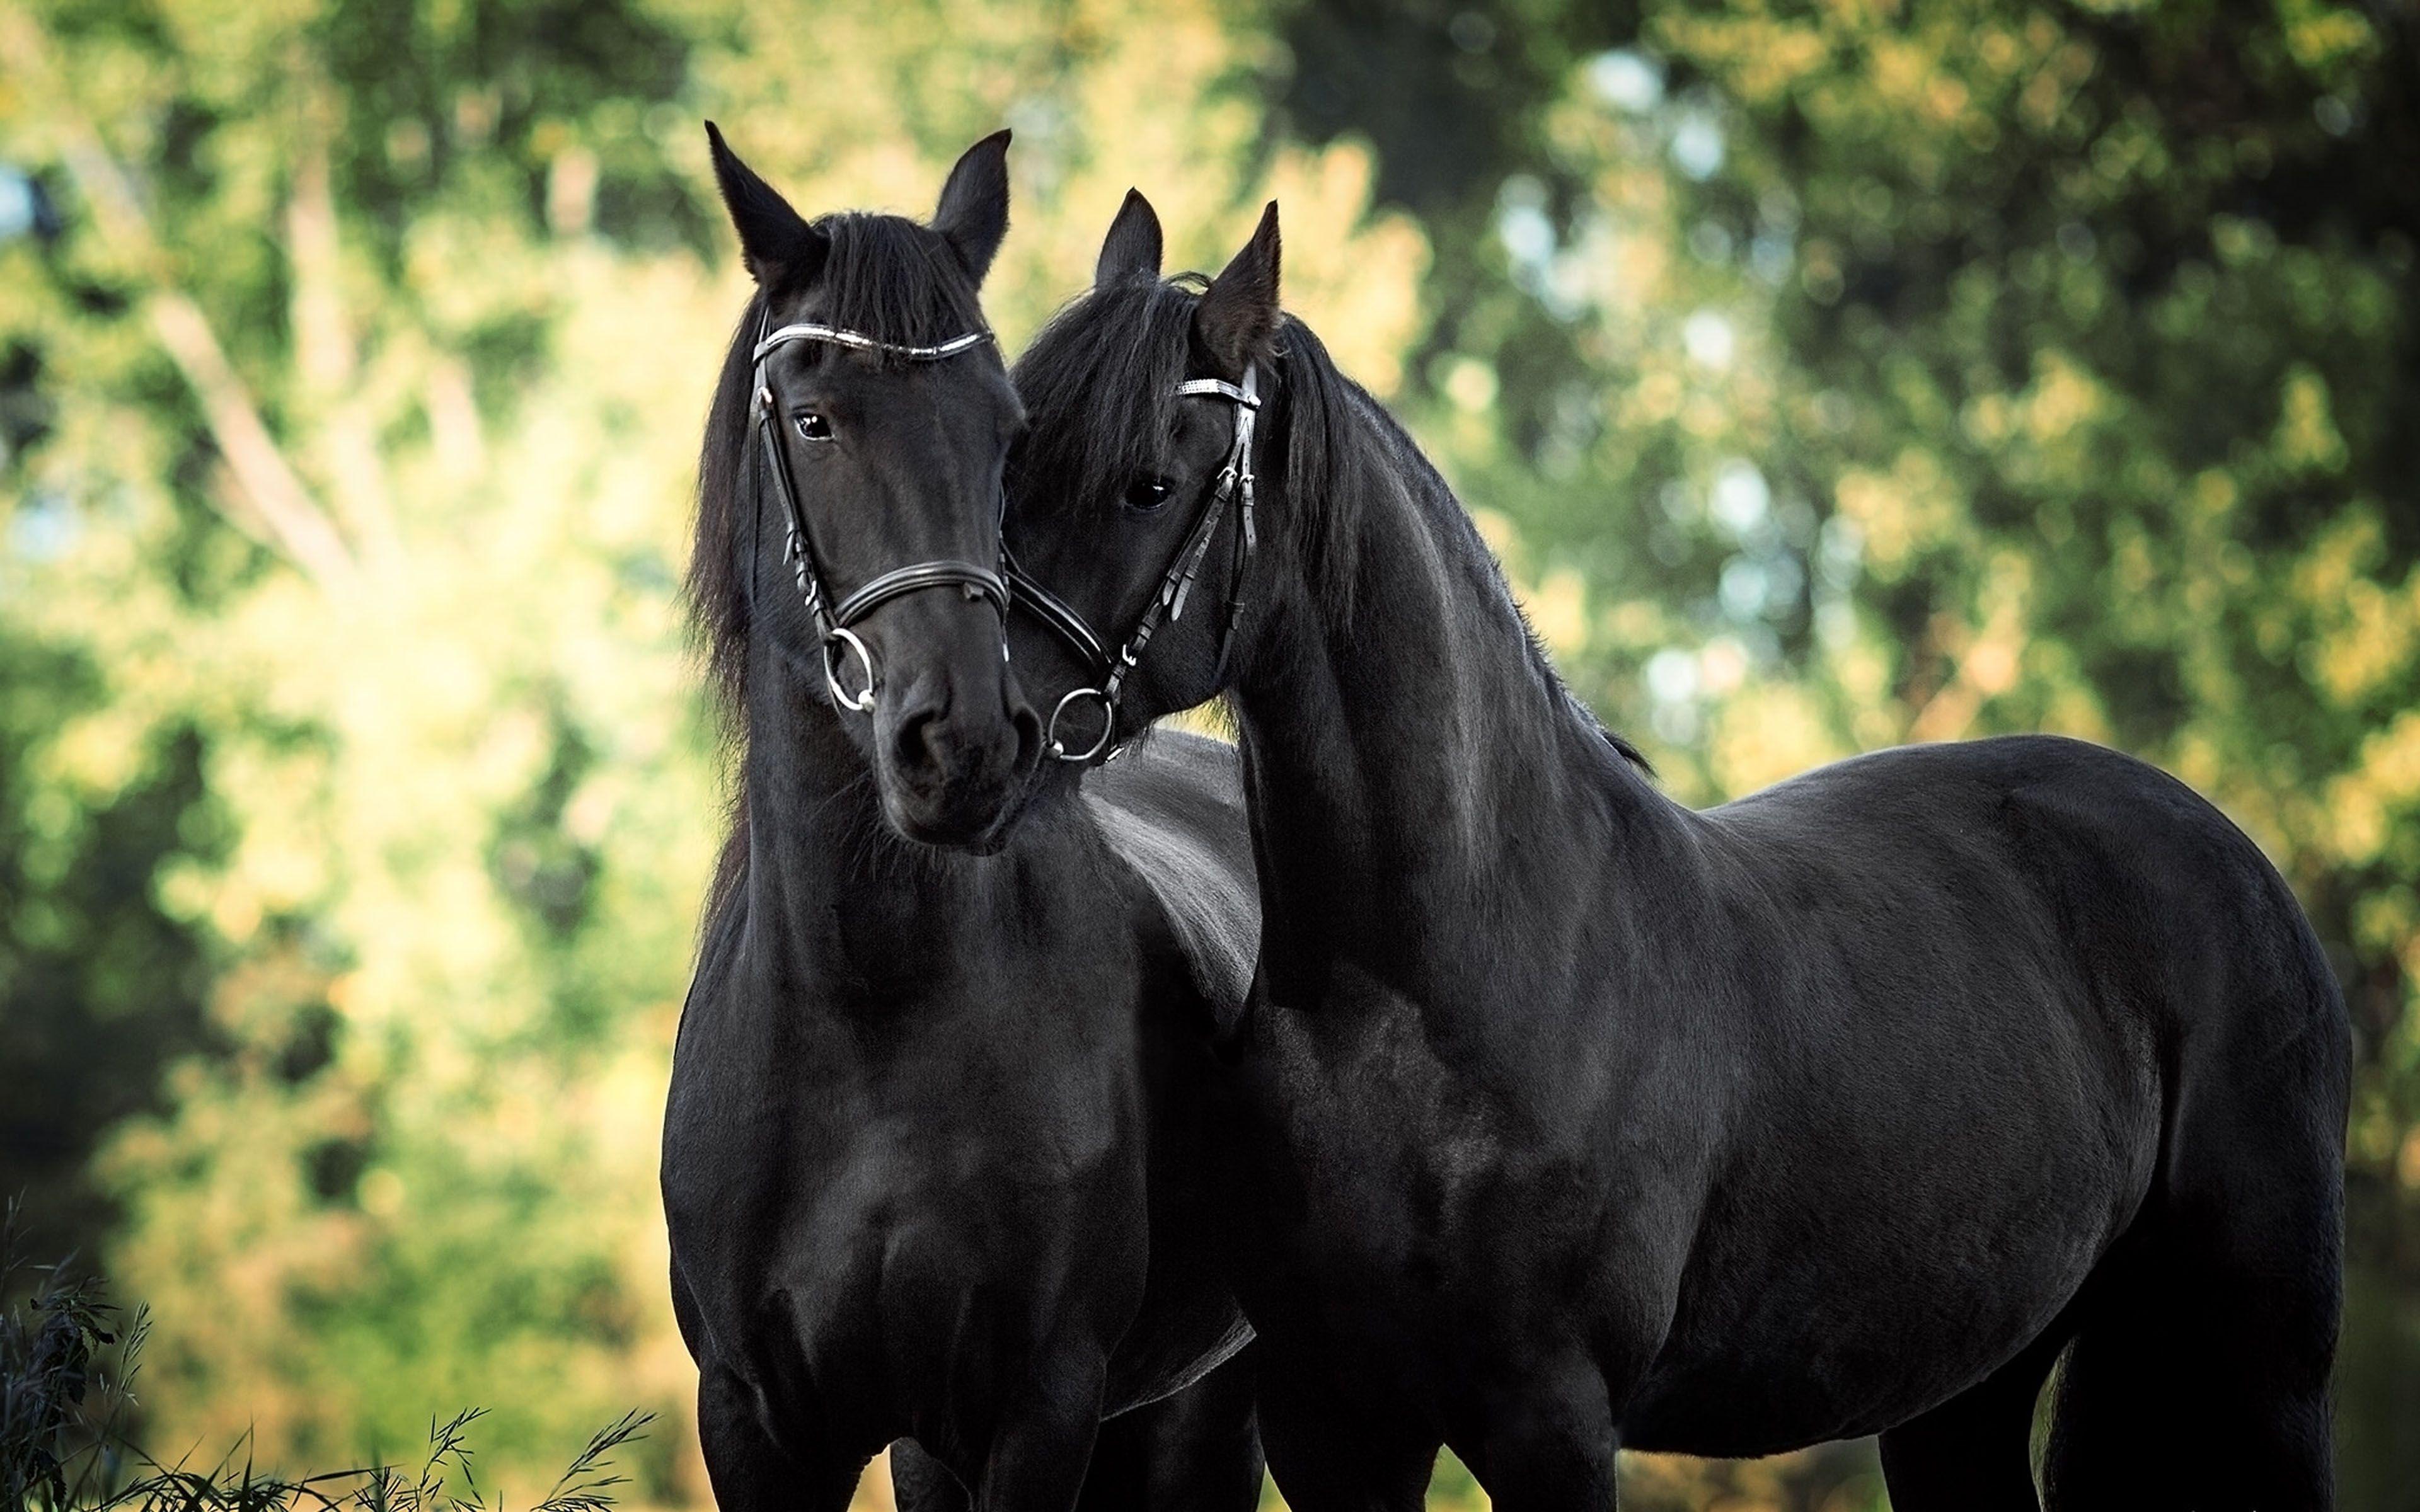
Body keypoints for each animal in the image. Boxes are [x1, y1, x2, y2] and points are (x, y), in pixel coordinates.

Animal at [660, 130, 1265, 1512]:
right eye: (816, 420)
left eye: (1005, 435)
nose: (965, 748)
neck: (868, 1007)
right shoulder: (763, 1423)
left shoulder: (1034, 1408)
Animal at [976, 190, 2349, 1510]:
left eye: (1147, 485)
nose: (970, 723)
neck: (1447, 980)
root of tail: (2238, 865)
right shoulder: (1336, 1424)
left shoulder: (1551, 1421)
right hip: (1963, 1389)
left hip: (2263, 1365)